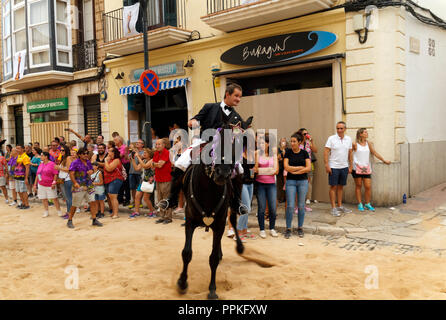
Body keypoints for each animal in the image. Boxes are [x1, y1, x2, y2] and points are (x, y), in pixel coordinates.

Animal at [177, 122, 249, 300]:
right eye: (217, 141)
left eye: (239, 144)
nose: (222, 174)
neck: (209, 189)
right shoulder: (190, 221)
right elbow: (187, 252)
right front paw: (182, 282)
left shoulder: (219, 223)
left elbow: (214, 257)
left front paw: (212, 289)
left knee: (233, 221)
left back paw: (239, 247)